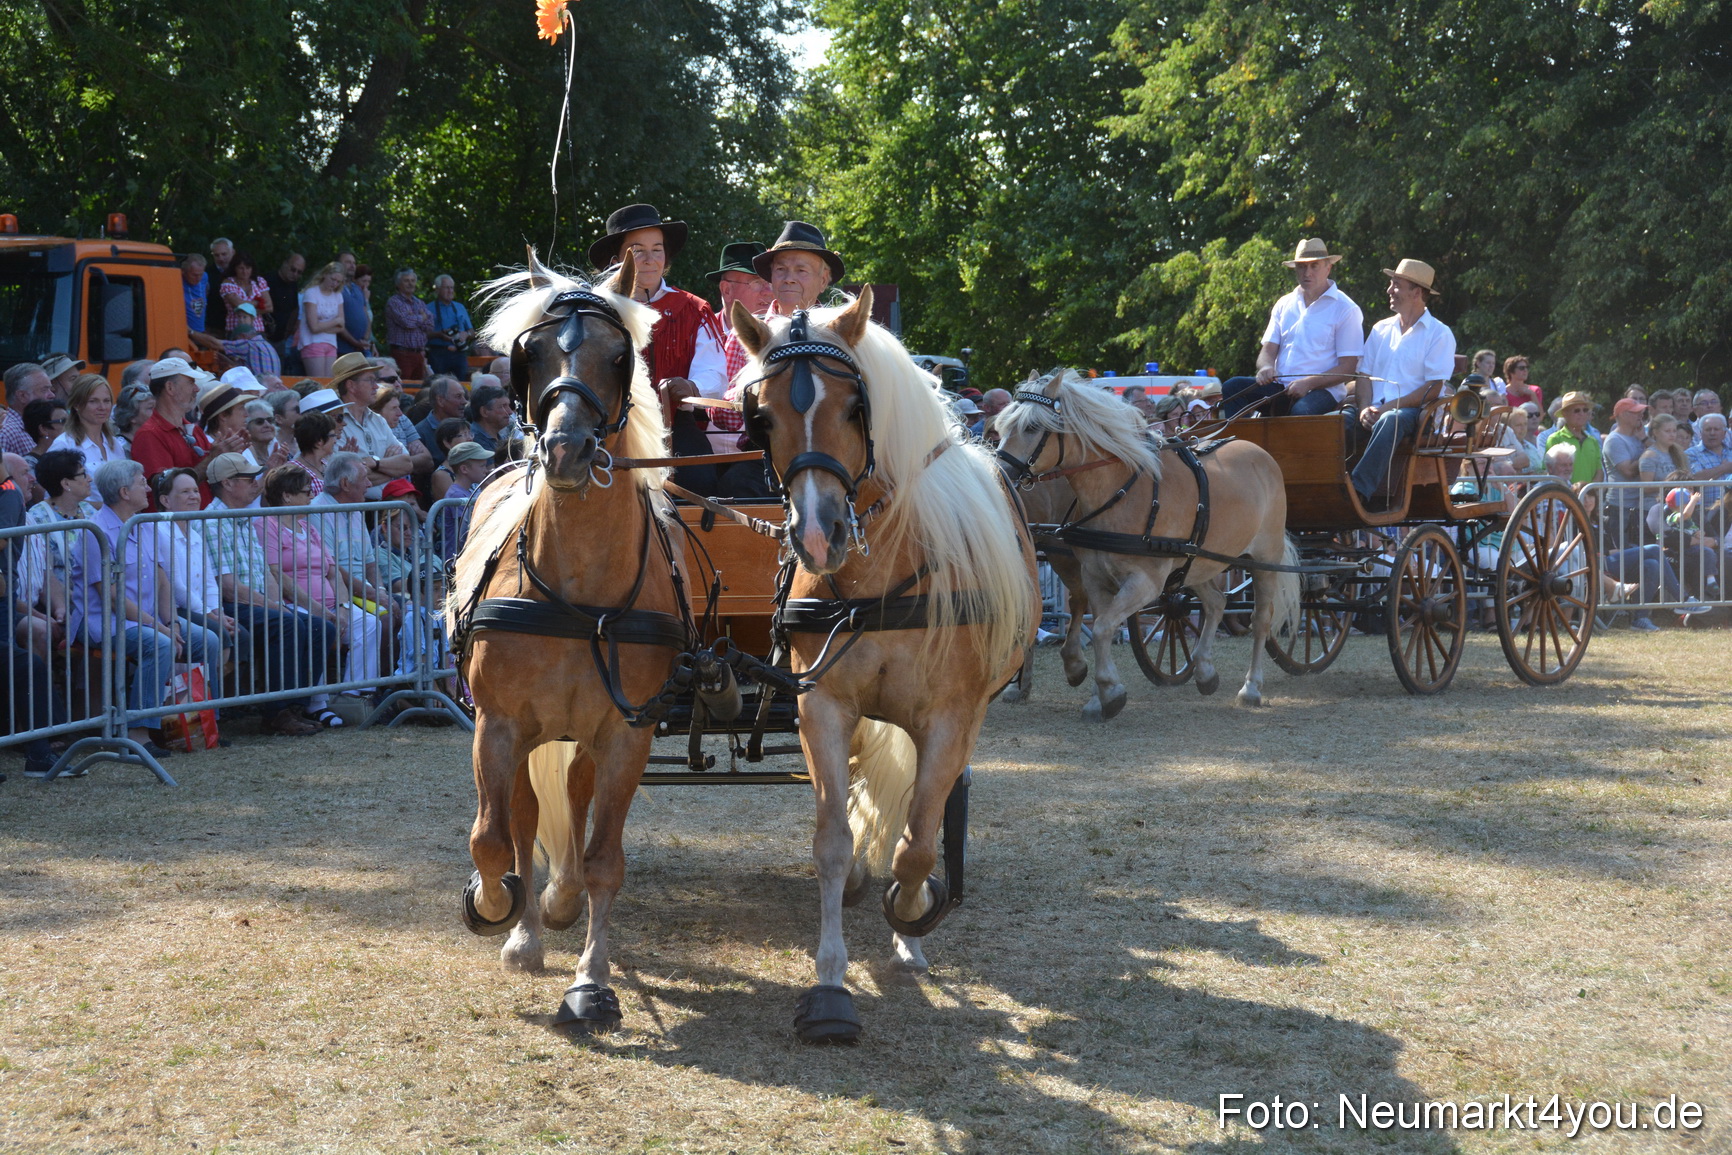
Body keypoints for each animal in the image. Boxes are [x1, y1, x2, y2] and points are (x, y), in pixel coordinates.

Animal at [448, 248, 693, 1031]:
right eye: (531, 354)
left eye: (620, 356)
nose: (565, 449)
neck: (578, 586)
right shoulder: (498, 725)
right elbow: (494, 837)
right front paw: (494, 905)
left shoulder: (627, 732)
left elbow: (603, 857)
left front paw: (592, 978)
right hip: (531, 733)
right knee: (525, 818)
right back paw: (527, 927)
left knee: (577, 805)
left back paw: (557, 903)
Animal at [729, 289, 1039, 1042]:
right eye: (763, 417)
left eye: (854, 408)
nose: (818, 536)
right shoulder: (821, 705)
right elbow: (834, 841)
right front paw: (830, 978)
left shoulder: (951, 719)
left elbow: (919, 845)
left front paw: (911, 913)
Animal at [995, 370, 1299, 715]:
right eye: (1001, 426)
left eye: (1032, 427)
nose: (999, 472)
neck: (1122, 492)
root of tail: (1258, 452)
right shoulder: (1096, 577)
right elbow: (1101, 626)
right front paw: (1100, 694)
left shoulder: (1146, 582)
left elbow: (1102, 628)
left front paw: (1108, 690)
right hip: (1198, 561)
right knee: (1215, 602)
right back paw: (1204, 670)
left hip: (1264, 559)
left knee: (1261, 620)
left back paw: (1251, 687)